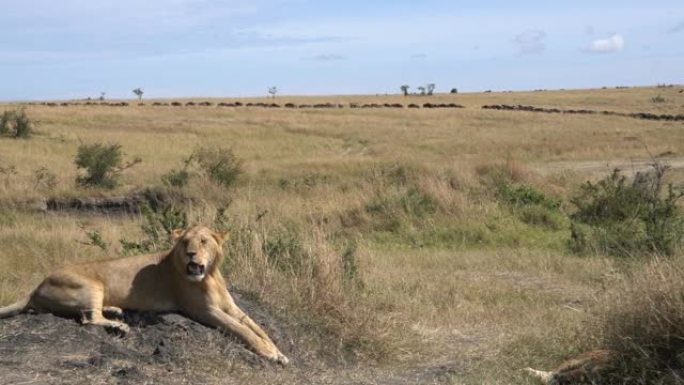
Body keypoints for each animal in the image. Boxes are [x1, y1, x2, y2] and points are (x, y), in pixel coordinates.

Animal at [0, 225, 288, 364]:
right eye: (185, 242)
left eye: (204, 241)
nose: (191, 254)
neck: (210, 275)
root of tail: (36, 286)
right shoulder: (203, 310)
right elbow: (243, 330)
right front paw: (269, 354)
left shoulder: (231, 306)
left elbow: (257, 327)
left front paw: (278, 351)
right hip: (91, 285)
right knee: (88, 318)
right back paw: (119, 325)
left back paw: (115, 310)